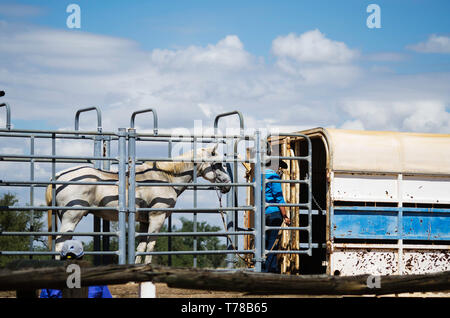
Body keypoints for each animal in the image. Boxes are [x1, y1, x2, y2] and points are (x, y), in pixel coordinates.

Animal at [44, 144, 232, 264]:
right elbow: (150, 246)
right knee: (60, 244)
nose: (228, 184)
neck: (165, 178)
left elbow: (141, 247)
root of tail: (58, 176)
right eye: (217, 164)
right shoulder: (157, 218)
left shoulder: (144, 222)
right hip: (71, 219)